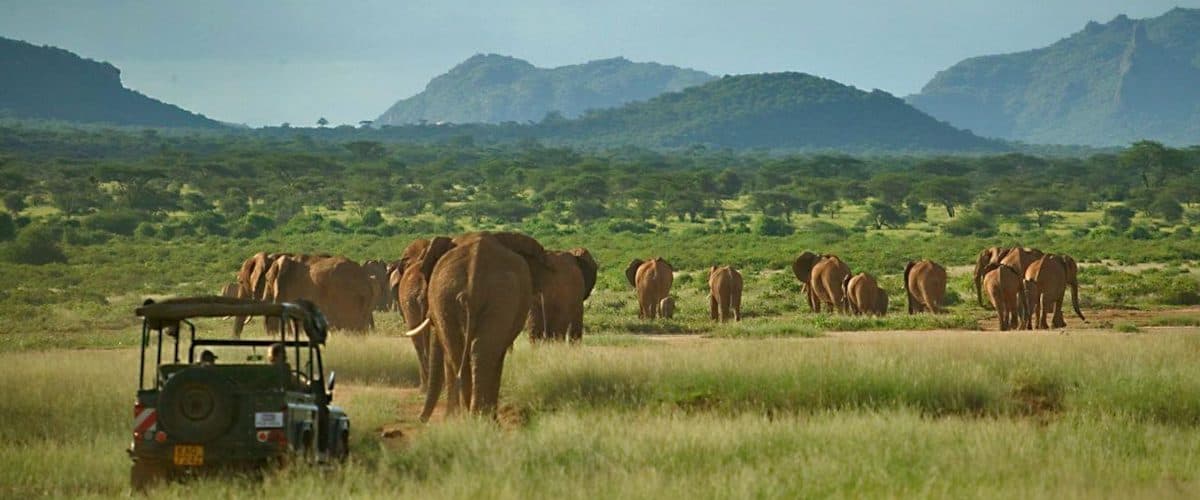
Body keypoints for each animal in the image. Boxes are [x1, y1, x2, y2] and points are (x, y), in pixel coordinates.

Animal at [405, 232, 549, 421]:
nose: (420, 420)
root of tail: (474, 273)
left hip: (476, 296)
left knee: (466, 353)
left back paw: (473, 417)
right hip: (462, 296)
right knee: (472, 352)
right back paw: (474, 417)